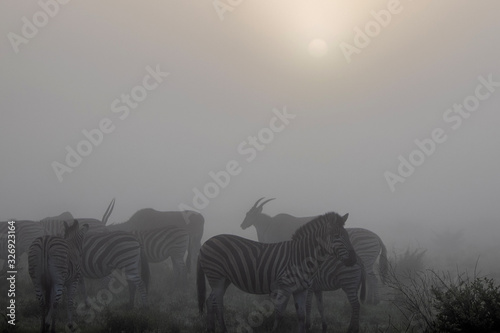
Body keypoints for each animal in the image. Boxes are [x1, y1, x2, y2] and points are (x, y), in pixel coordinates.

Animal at [197, 211, 358, 330]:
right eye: (337, 236)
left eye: (347, 236)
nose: (353, 260)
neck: (301, 256)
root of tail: (205, 243)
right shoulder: (284, 287)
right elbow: (279, 315)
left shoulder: (301, 290)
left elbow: (301, 317)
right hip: (216, 276)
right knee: (216, 303)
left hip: (224, 279)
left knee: (211, 302)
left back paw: (212, 329)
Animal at [240, 197, 388, 304]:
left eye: (249, 213)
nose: (242, 225)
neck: (269, 225)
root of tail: (377, 236)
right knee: (370, 279)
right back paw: (370, 300)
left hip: (365, 260)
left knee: (373, 279)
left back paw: (374, 301)